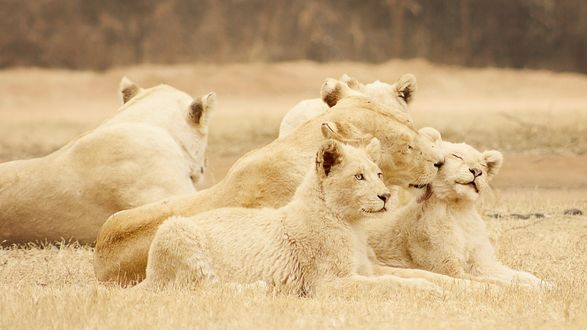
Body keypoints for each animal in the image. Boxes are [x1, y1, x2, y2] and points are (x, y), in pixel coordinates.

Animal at [143, 138, 436, 296]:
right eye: (358, 176)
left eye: (378, 174)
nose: (385, 196)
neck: (352, 225)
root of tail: (150, 273)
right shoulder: (329, 283)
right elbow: (391, 282)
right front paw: (430, 291)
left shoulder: (365, 268)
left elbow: (415, 273)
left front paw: (446, 286)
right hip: (176, 227)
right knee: (201, 288)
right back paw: (260, 288)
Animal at [368, 133, 548, 288]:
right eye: (457, 156)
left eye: (482, 165)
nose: (476, 171)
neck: (460, 210)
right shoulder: (448, 267)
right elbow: (493, 281)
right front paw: (524, 289)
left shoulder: (482, 263)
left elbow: (520, 275)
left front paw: (546, 285)